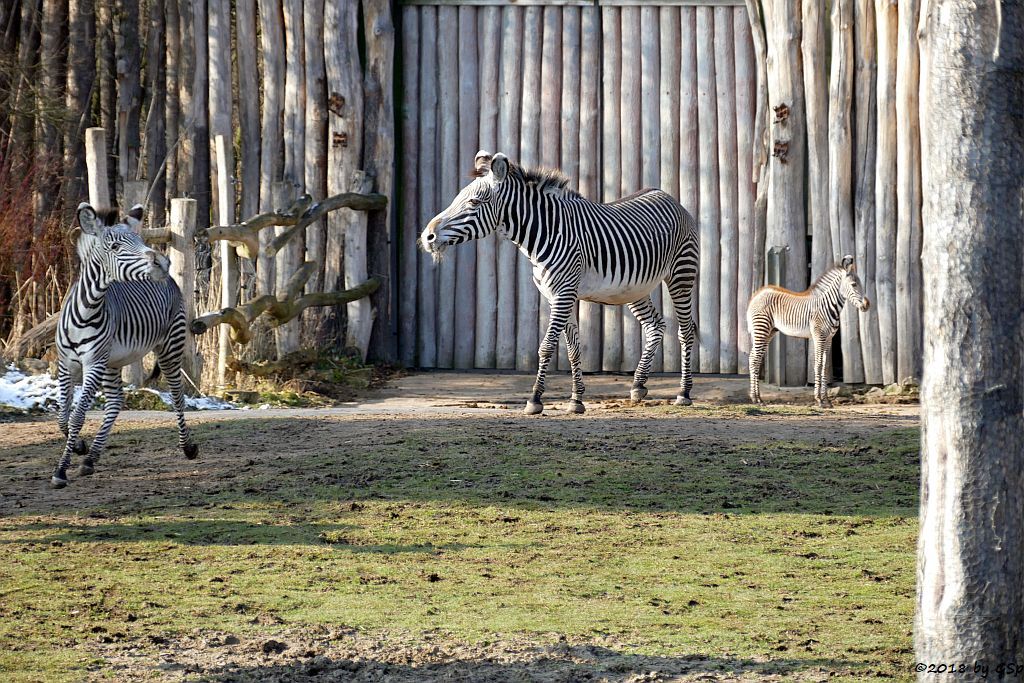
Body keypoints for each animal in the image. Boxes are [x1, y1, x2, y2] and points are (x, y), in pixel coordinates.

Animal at [51, 200, 199, 489]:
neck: (87, 310)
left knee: (177, 395)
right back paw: (91, 458)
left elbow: (77, 416)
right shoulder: (66, 365)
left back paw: (188, 447)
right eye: (115, 247)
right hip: (112, 362)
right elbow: (63, 416)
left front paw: (61, 471)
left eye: (139, 240)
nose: (162, 262)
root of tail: (170, 278)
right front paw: (80, 447)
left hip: (170, 347)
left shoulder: (93, 364)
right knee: (115, 402)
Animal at [419, 151, 700, 413]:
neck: (545, 233)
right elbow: (573, 349)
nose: (427, 237)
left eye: (474, 202)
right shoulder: (557, 295)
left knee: (686, 331)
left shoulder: (564, 293)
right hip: (634, 288)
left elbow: (546, 347)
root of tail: (667, 195)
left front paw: (535, 399)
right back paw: (638, 385)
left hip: (681, 274)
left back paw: (683, 393)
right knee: (655, 326)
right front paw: (576, 400)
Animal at [745, 254, 872, 405]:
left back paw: (757, 397)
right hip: (761, 329)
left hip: (769, 331)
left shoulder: (829, 338)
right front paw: (819, 399)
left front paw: (826, 400)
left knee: (755, 358)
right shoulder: (819, 336)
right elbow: (818, 364)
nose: (867, 305)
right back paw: (756, 398)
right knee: (754, 359)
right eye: (854, 284)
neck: (828, 305)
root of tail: (757, 295)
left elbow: (824, 367)